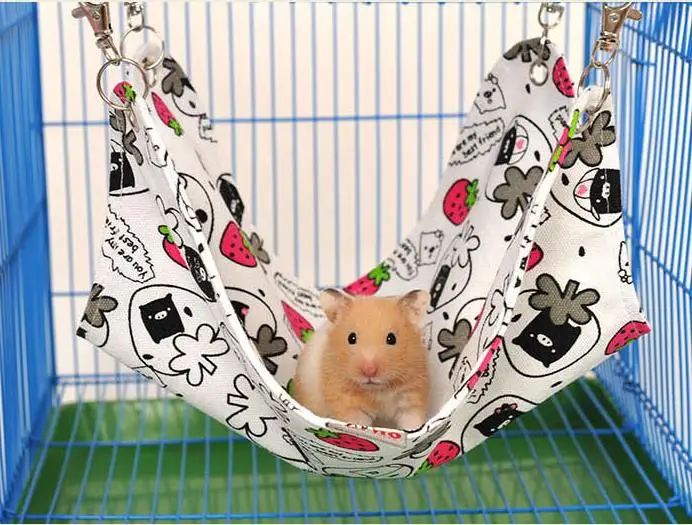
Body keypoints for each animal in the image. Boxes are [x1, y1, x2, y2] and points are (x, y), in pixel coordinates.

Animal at [293, 288, 431, 432]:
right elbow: (359, 424)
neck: (377, 391)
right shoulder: (349, 405)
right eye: (351, 338)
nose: (370, 371)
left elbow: (412, 422)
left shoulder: (411, 396)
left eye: (391, 338)